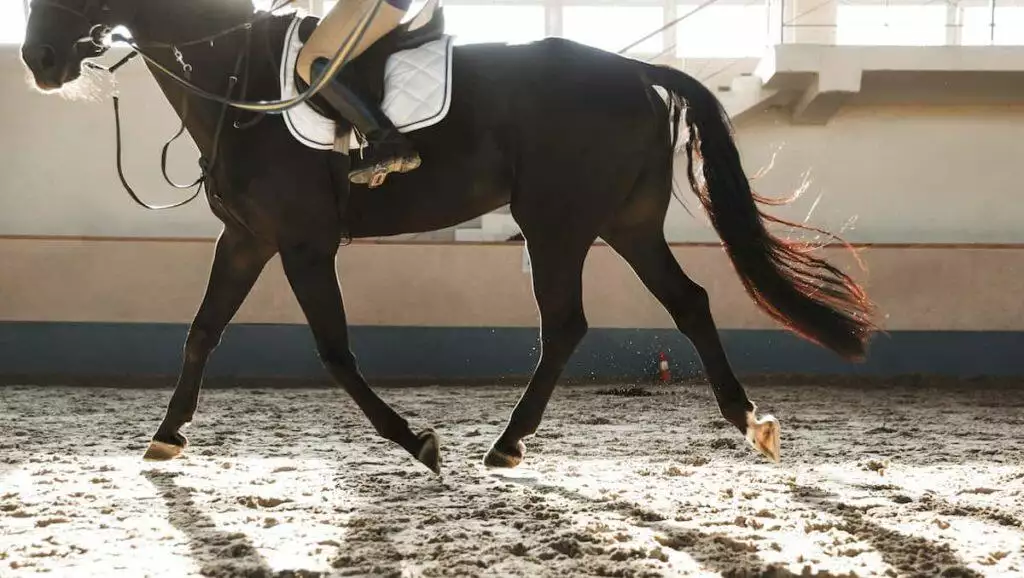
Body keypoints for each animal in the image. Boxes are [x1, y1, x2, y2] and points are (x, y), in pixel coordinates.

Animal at [19, 0, 876, 475]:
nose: (38, 60)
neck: (238, 76)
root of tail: (637, 72)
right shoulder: (247, 239)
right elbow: (200, 332)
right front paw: (167, 437)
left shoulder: (302, 243)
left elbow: (335, 352)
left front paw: (417, 443)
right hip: (624, 224)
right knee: (688, 303)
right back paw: (747, 421)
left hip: (557, 224)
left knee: (567, 324)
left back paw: (507, 443)